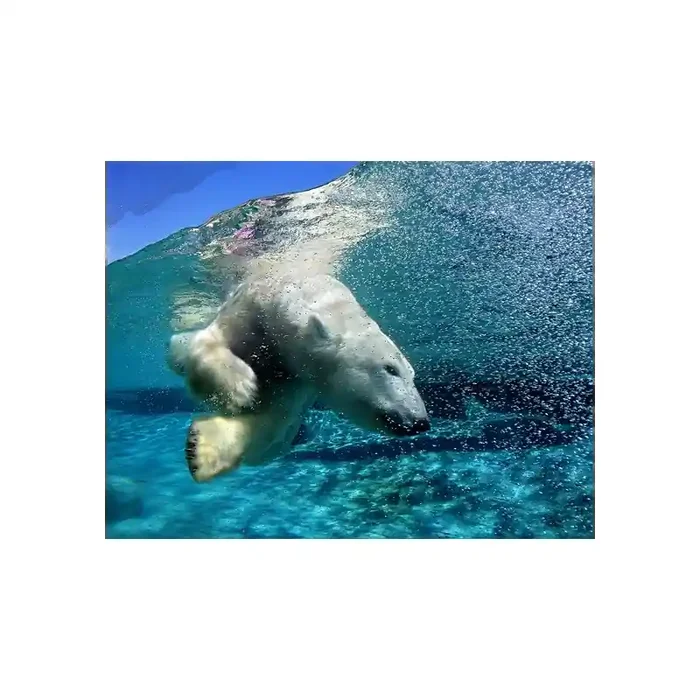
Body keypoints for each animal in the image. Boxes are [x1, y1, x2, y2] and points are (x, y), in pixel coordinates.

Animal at [168, 272, 430, 482]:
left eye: (413, 375)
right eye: (390, 368)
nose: (420, 422)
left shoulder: (298, 380)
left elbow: (273, 427)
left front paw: (201, 449)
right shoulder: (250, 313)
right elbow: (208, 341)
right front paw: (241, 387)